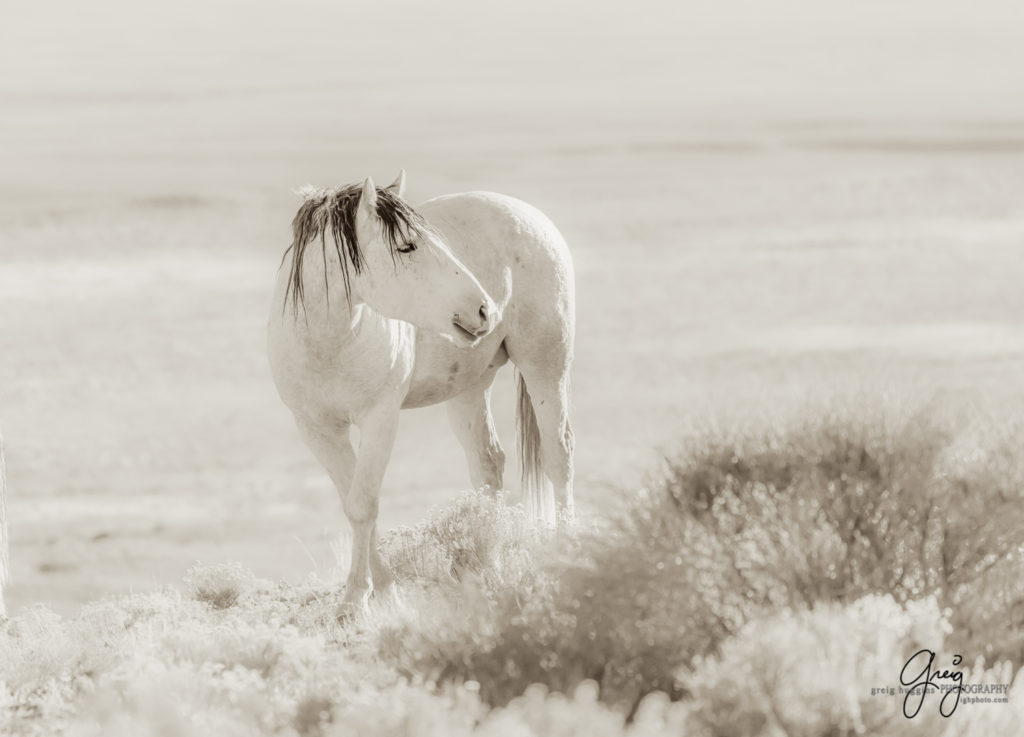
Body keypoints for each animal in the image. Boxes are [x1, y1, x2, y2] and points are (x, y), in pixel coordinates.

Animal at [268, 169, 577, 614]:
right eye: (407, 246)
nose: (485, 309)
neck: (328, 344)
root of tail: (532, 215)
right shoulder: (317, 430)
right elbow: (354, 503)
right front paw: (380, 592)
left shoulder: (380, 419)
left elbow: (364, 504)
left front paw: (358, 599)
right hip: (469, 388)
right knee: (488, 463)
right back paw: (486, 562)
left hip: (545, 366)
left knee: (559, 456)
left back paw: (566, 553)